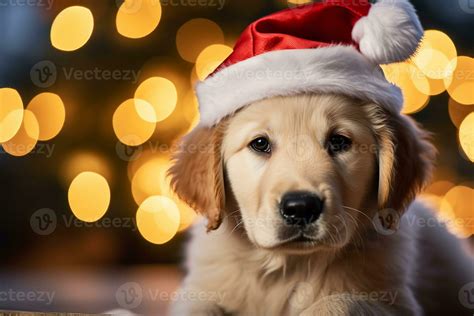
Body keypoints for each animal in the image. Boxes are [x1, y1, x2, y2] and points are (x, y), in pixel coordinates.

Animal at [168, 94, 472, 316]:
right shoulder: (202, 288)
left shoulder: (394, 301)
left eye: (339, 141)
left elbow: (339, 302)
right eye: (260, 143)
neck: (291, 266)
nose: (301, 207)